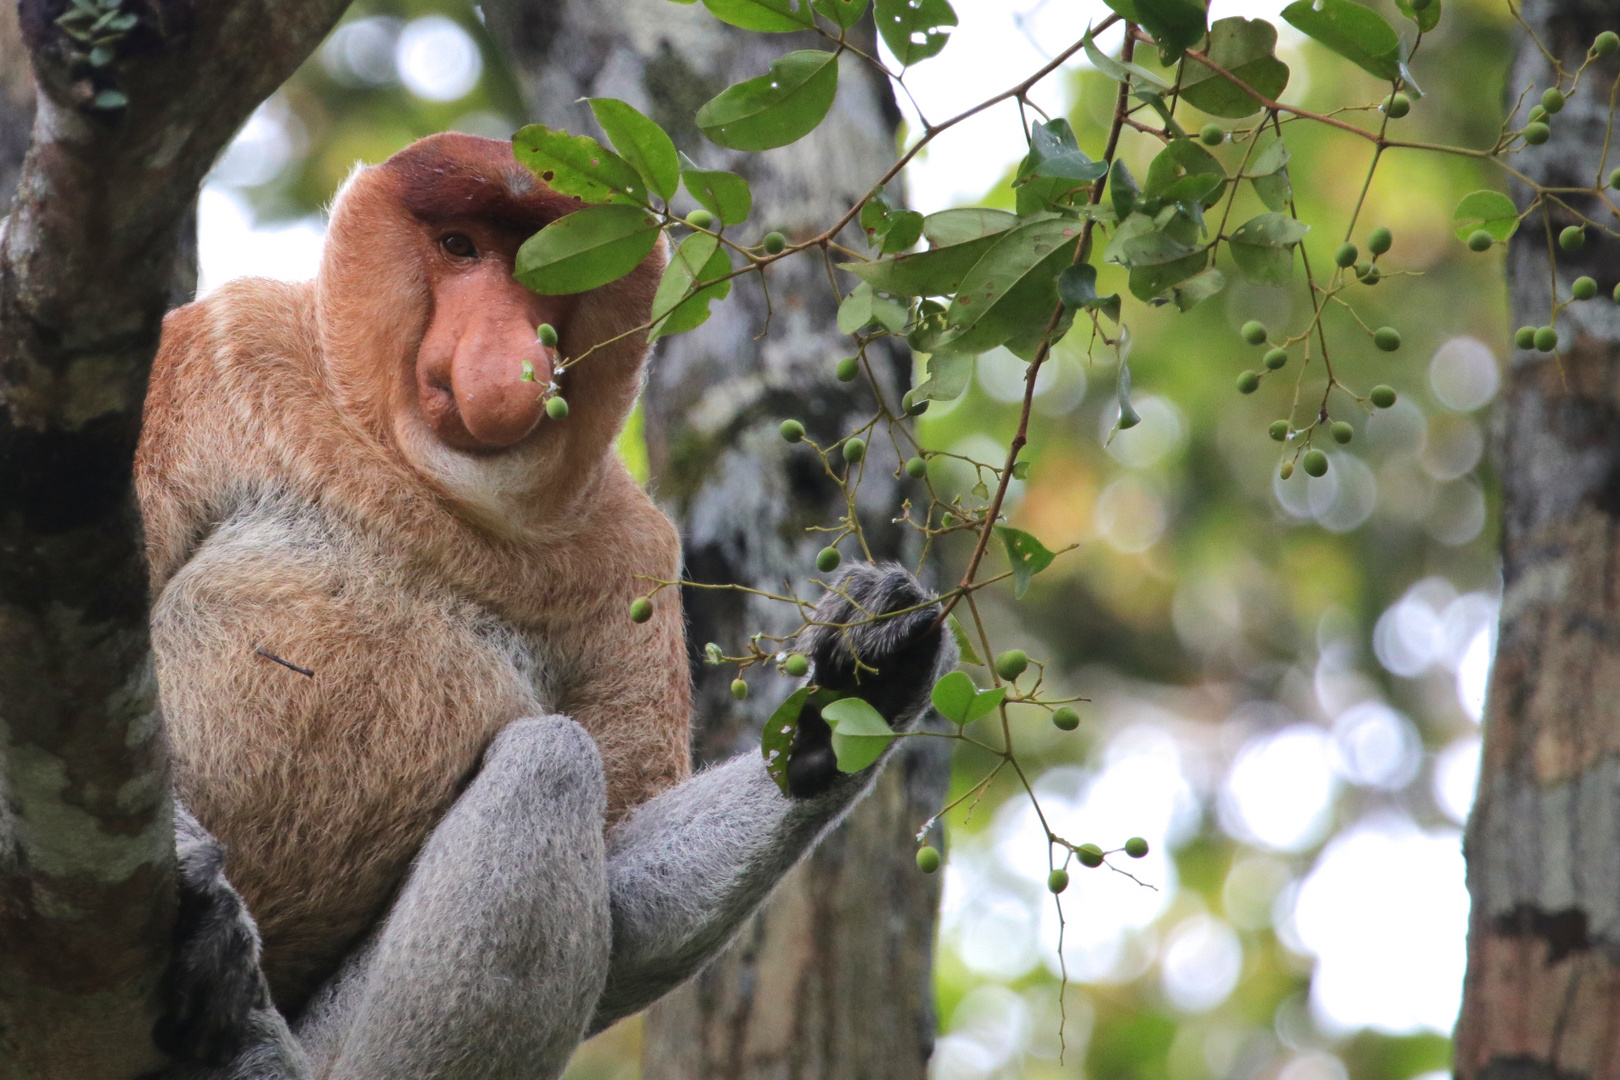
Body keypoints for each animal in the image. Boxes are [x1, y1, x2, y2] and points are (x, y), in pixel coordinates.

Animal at [142, 137, 946, 1080]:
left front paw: (868, 674)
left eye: (543, 268)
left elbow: (622, 892)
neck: (410, 466)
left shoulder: (632, 550)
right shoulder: (215, 354)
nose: (514, 352)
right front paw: (204, 898)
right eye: (459, 247)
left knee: (551, 760)